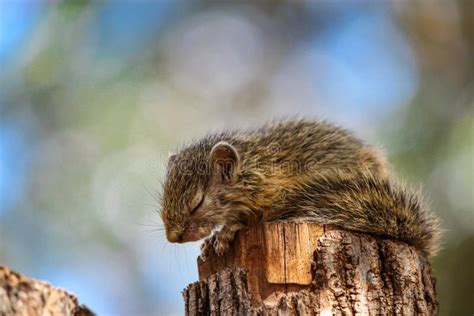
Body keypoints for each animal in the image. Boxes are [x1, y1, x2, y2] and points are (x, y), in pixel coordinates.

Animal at [159, 118, 440, 260]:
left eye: (197, 203)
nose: (172, 238)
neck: (250, 169)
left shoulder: (280, 192)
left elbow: (255, 217)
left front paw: (228, 230)